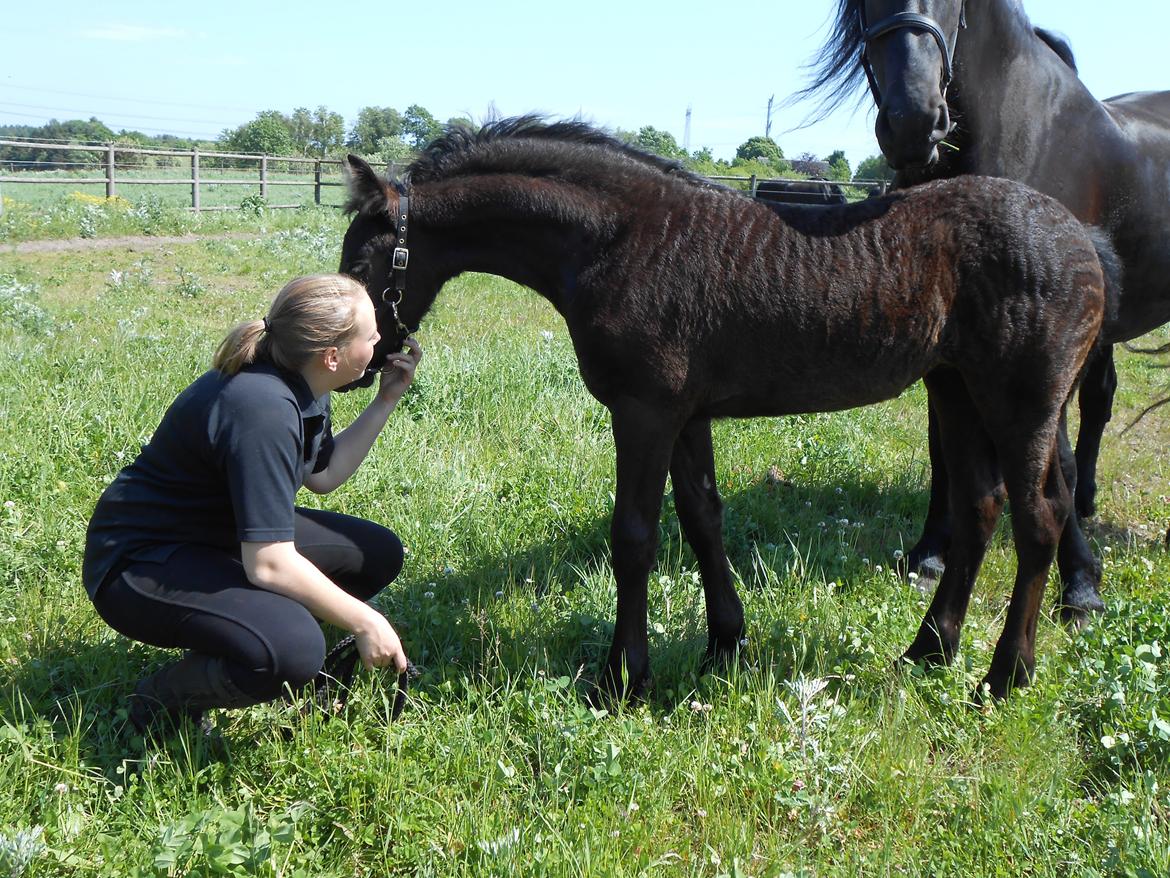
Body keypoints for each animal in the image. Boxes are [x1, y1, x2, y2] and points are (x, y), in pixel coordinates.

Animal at [336, 120, 1104, 707]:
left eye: (364, 263)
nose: (359, 366)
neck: (619, 240)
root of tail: (1084, 241)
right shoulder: (686, 415)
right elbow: (703, 519)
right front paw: (724, 644)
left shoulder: (644, 412)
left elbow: (635, 537)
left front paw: (625, 678)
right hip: (955, 391)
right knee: (979, 510)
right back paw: (927, 651)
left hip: (1021, 402)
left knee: (1039, 520)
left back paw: (1004, 676)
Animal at [800, 0, 1170, 618]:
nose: (914, 121)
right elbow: (942, 450)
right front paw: (929, 551)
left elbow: (1055, 462)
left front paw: (1081, 584)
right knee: (1099, 400)